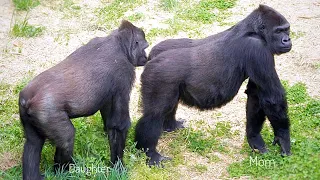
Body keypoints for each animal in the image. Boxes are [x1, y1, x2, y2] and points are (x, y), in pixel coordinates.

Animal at [19, 20, 149, 180]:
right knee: (67, 139)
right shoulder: (124, 73)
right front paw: (118, 167)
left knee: (33, 144)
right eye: (144, 47)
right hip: (47, 112)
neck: (118, 42)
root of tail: (27, 99)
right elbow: (118, 125)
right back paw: (64, 172)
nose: (146, 57)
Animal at [134, 5, 292, 166]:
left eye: (287, 29)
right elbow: (272, 98)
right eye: (278, 31)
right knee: (154, 114)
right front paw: (284, 139)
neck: (253, 30)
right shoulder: (257, 50)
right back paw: (150, 153)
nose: (287, 39)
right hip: (158, 75)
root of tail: (151, 56)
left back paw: (171, 125)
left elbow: (255, 95)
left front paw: (255, 139)